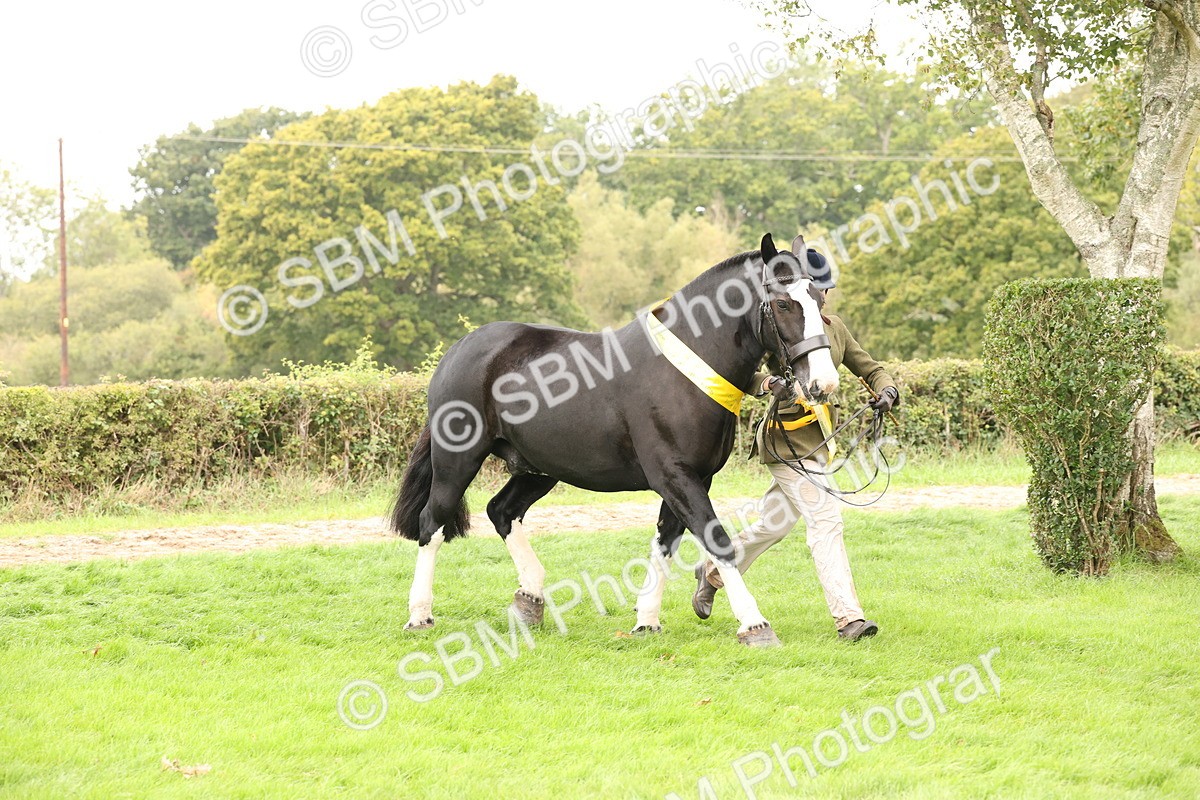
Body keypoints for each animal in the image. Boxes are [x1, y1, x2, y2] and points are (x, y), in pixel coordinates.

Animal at [390, 233, 840, 647]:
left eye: (819, 300)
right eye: (783, 304)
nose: (823, 382)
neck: (684, 368)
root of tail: (459, 350)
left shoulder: (693, 477)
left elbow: (665, 540)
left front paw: (647, 621)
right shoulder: (674, 476)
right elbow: (717, 540)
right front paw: (754, 625)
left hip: (539, 468)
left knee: (501, 511)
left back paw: (530, 600)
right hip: (458, 459)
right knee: (432, 523)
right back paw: (420, 616)